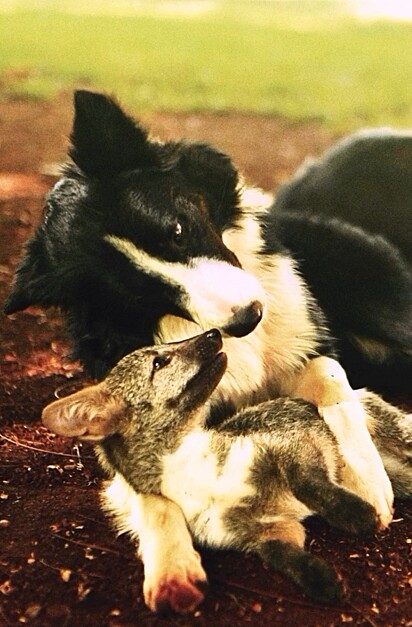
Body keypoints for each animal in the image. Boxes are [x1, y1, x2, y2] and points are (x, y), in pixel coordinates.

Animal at [4, 92, 412, 612]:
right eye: (141, 293)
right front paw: (172, 567)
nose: (247, 319)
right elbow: (149, 493)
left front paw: (366, 476)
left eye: (177, 230)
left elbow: (332, 383)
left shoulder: (307, 350)